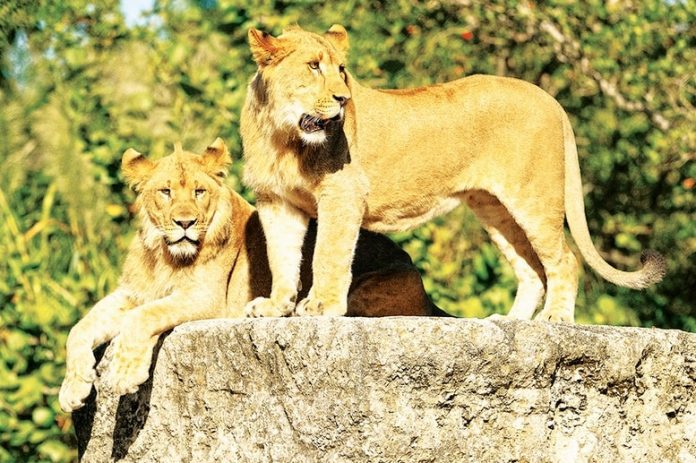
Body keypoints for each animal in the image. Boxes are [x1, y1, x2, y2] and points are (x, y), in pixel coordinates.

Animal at [59, 138, 444, 412]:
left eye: (199, 191)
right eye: (165, 192)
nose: (185, 222)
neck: (163, 255)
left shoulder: (204, 299)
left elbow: (143, 317)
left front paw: (125, 372)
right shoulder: (132, 292)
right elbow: (80, 328)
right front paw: (72, 390)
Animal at [240, 24, 666, 323]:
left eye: (342, 71)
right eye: (313, 66)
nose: (344, 100)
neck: (283, 136)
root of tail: (549, 98)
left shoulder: (342, 193)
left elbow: (327, 254)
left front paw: (321, 306)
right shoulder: (276, 202)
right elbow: (282, 258)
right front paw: (275, 307)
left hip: (534, 198)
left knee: (564, 260)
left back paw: (557, 318)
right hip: (495, 210)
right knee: (531, 269)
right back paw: (510, 321)